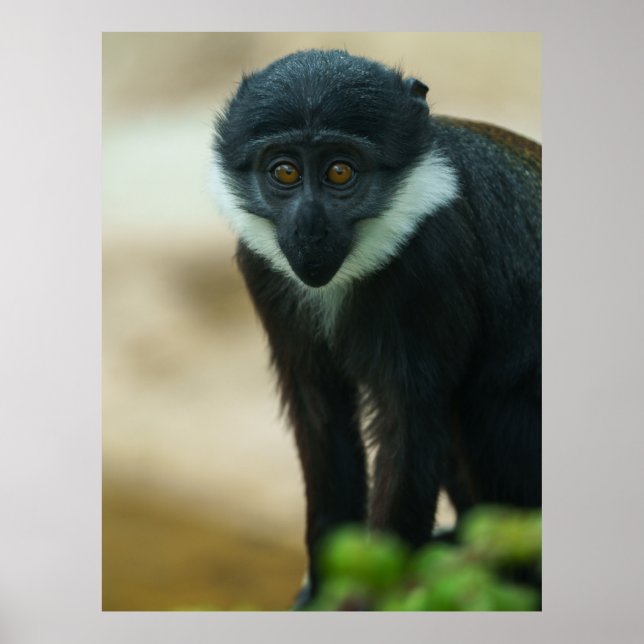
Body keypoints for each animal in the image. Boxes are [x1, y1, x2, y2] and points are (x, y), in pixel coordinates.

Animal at [210, 49, 541, 606]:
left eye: (340, 171)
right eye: (285, 171)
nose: (309, 228)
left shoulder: (432, 257)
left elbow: (408, 426)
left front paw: (367, 599)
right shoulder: (262, 268)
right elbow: (321, 418)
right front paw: (322, 590)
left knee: (488, 406)